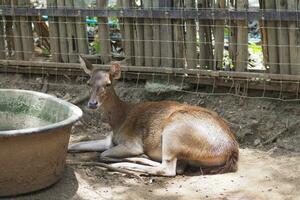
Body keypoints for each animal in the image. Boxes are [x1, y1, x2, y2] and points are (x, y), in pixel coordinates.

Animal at [68, 55, 239, 176]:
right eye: (88, 83)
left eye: (108, 84)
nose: (92, 104)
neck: (118, 120)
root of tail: (231, 151)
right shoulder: (109, 140)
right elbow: (74, 145)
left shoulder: (132, 143)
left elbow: (103, 154)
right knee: (178, 167)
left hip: (174, 131)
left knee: (168, 169)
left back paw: (125, 164)